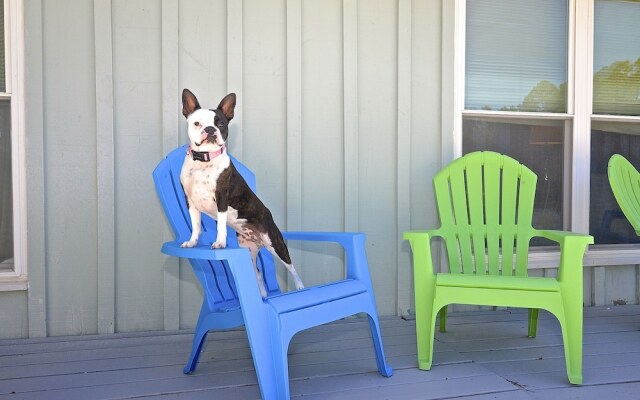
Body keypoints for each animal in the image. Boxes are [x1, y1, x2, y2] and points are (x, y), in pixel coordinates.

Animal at [180, 90, 304, 296]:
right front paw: (192, 242)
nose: (211, 130)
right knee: (258, 273)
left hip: (274, 242)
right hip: (249, 250)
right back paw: (263, 295)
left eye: (221, 124)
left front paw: (220, 243)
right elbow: (195, 226)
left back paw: (300, 287)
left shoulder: (221, 198)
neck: (203, 162)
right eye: (197, 123)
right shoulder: (190, 201)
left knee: (291, 266)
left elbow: (221, 226)